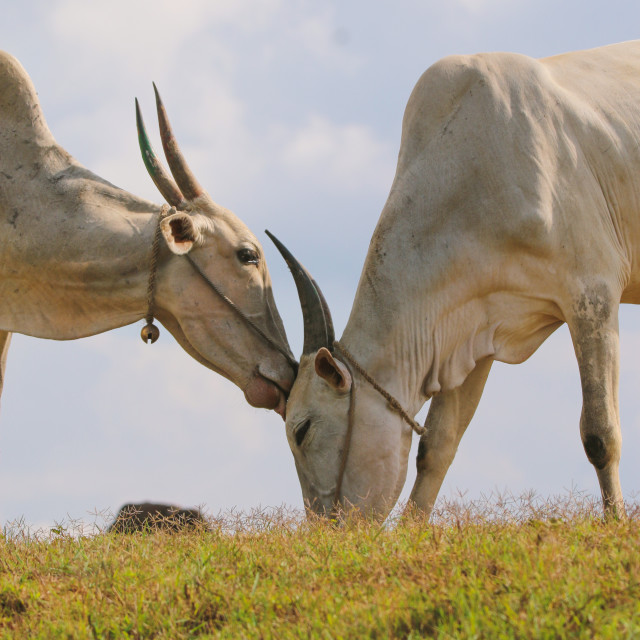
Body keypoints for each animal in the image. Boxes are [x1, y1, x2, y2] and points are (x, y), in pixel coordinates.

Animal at [272, 40, 640, 520]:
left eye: (302, 429)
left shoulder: (592, 298)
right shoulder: (473, 330)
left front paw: (615, 520)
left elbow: (600, 435)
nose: (323, 527)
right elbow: (437, 448)